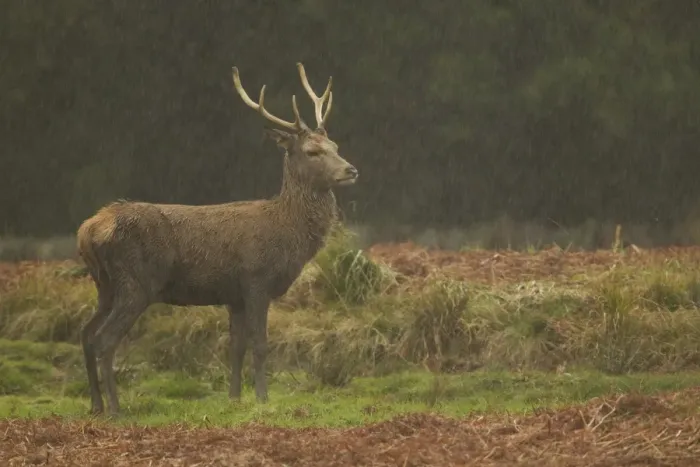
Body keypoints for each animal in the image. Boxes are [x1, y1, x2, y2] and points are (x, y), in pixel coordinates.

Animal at [76, 62, 358, 415]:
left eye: (335, 146)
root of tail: (88, 230)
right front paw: (263, 399)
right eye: (312, 151)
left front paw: (235, 398)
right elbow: (260, 344)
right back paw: (115, 409)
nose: (351, 170)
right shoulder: (256, 279)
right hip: (136, 283)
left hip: (105, 286)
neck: (286, 232)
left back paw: (96, 406)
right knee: (104, 339)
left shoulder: (233, 294)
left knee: (86, 335)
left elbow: (236, 347)